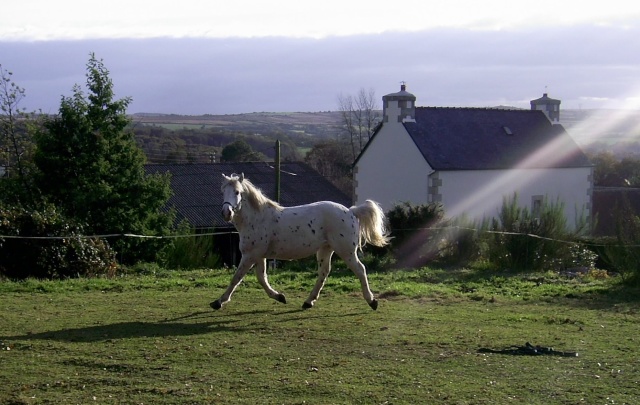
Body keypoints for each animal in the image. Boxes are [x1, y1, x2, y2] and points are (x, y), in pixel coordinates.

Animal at [211, 173, 390, 310]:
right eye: (223, 191)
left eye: (237, 192)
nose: (226, 212)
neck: (257, 218)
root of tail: (351, 211)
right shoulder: (259, 256)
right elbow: (262, 278)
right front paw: (279, 296)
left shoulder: (250, 255)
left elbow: (236, 278)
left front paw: (219, 302)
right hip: (325, 250)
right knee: (324, 272)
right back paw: (308, 302)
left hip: (346, 251)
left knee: (360, 270)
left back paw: (372, 301)